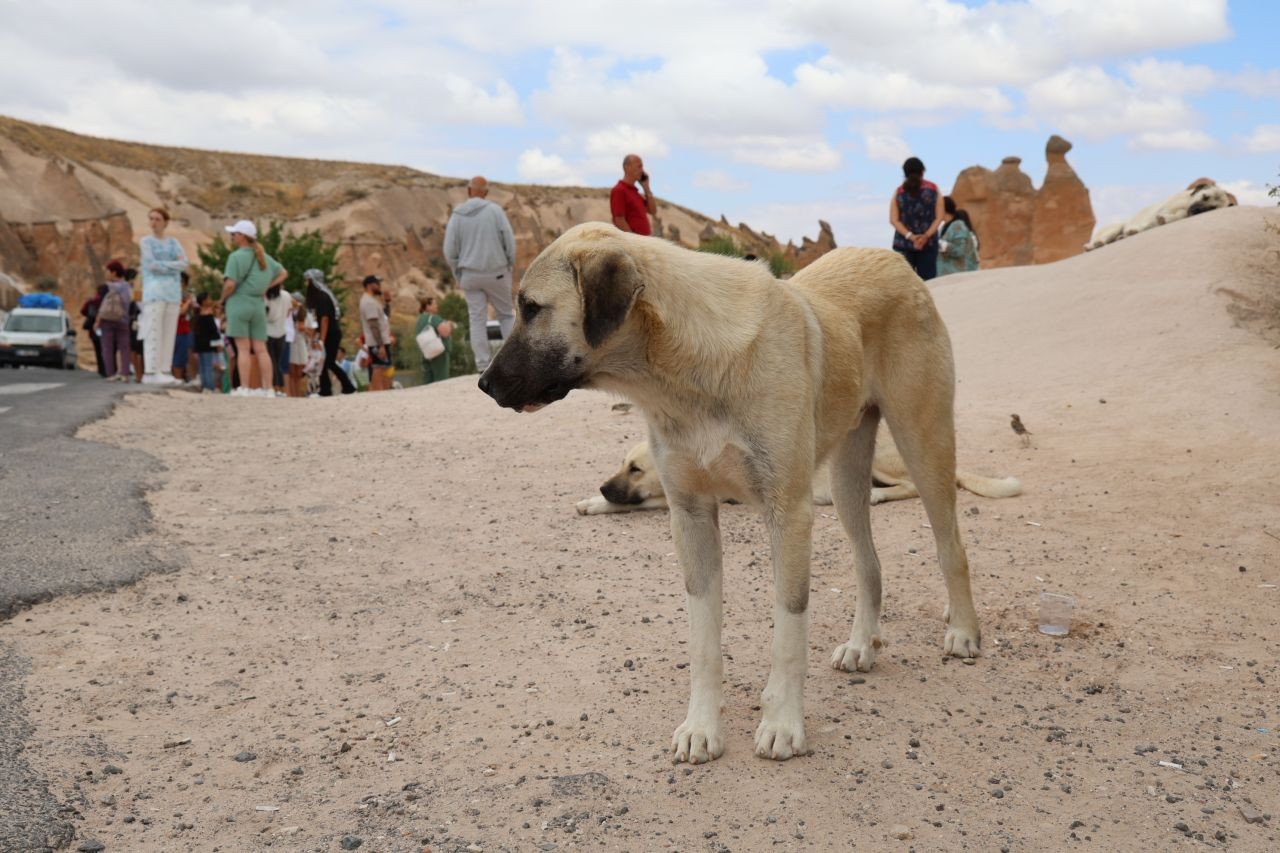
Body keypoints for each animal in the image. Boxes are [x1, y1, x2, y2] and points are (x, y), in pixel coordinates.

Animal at [481, 222, 988, 758]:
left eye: (531, 307)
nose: (483, 383)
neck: (686, 373)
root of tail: (891, 259)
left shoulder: (789, 514)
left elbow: (789, 631)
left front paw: (783, 723)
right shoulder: (690, 517)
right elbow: (703, 641)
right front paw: (702, 727)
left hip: (923, 443)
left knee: (951, 547)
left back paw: (962, 631)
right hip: (846, 478)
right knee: (868, 564)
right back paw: (861, 644)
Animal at [1085, 176, 1233, 249]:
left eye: (1212, 208)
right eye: (1205, 197)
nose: (1196, 210)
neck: (1187, 203)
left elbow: (1177, 215)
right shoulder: (1165, 208)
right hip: (1114, 228)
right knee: (1090, 245)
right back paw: (1097, 244)